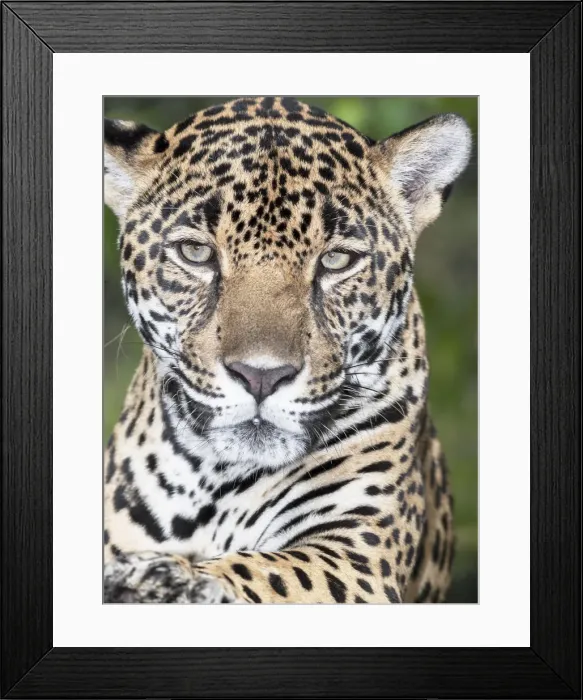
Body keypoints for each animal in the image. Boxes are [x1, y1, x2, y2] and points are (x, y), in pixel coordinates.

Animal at [103, 96, 471, 604]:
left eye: (336, 260)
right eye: (196, 253)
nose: (261, 376)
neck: (218, 479)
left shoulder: (359, 554)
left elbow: (271, 568)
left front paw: (172, 578)